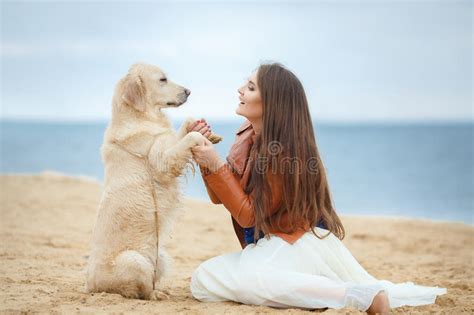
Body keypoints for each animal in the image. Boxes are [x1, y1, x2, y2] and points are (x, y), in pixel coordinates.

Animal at [85, 62, 207, 302]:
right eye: (162, 79)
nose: (188, 91)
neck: (139, 117)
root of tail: (90, 285)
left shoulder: (164, 142)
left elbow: (180, 132)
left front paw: (194, 124)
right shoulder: (162, 161)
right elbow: (186, 141)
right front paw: (198, 136)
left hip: (160, 257)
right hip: (136, 260)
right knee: (141, 292)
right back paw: (157, 294)